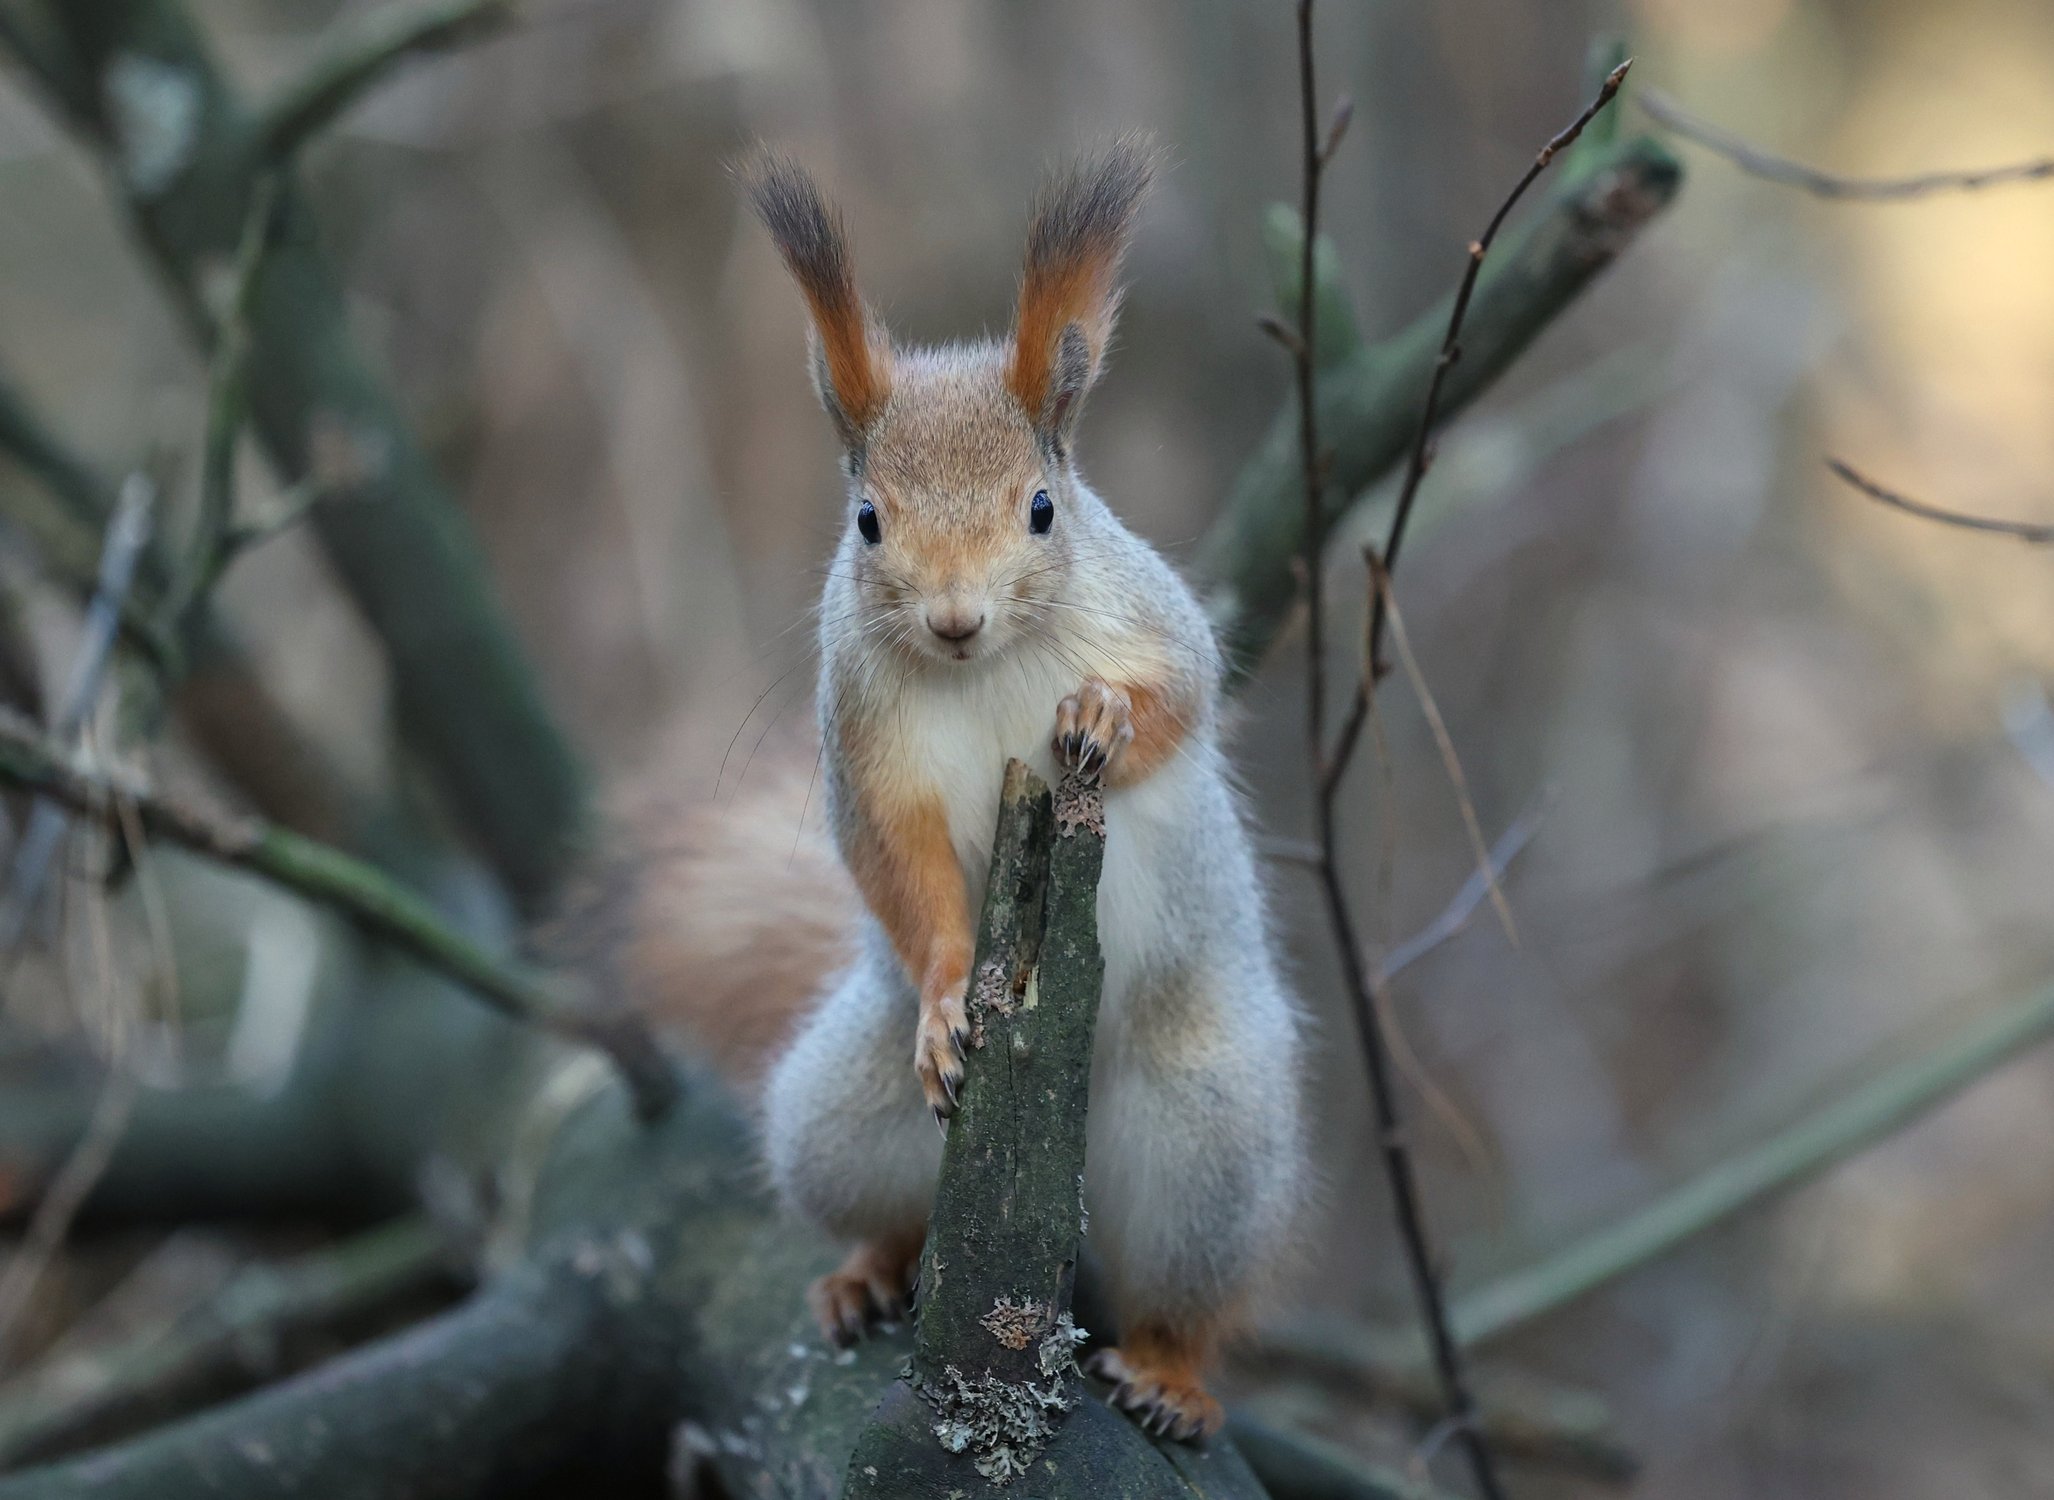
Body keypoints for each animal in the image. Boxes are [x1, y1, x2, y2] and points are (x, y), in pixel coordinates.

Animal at [616, 139, 1306, 1438]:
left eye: (1041, 507)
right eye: (865, 520)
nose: (951, 618)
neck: (984, 671)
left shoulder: (1159, 625)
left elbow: (1180, 700)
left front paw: (1103, 715)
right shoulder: (866, 749)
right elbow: (901, 866)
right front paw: (946, 1007)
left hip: (1206, 1142)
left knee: (1187, 1289)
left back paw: (1170, 1374)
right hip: (839, 1120)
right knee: (879, 1203)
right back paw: (868, 1273)